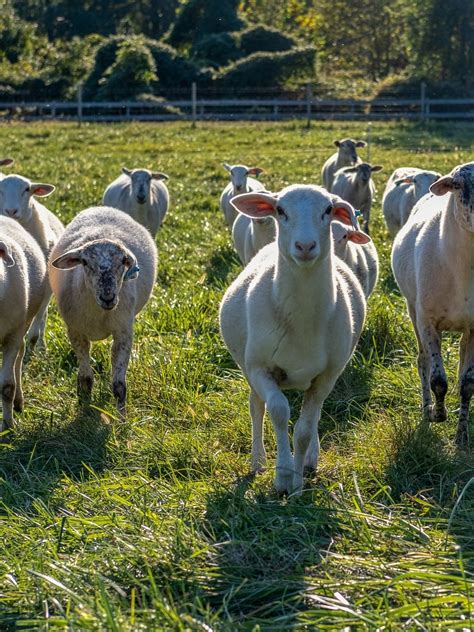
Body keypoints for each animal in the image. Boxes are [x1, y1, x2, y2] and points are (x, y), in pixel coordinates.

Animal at [0, 174, 64, 350]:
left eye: (27, 189)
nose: (11, 211)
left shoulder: (46, 286)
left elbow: (38, 320)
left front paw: (34, 343)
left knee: (43, 317)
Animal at [49, 206, 157, 414]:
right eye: (84, 262)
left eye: (123, 261)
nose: (108, 297)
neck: (99, 313)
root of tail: (104, 208)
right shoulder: (75, 332)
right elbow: (85, 377)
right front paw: (84, 406)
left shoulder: (123, 332)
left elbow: (119, 386)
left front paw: (121, 416)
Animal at [219, 183, 366, 494]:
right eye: (280, 210)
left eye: (328, 210)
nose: (305, 246)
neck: (302, 320)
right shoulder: (260, 368)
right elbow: (278, 411)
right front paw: (282, 476)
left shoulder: (326, 377)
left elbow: (304, 429)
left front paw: (297, 484)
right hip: (248, 368)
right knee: (256, 406)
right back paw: (258, 461)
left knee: (315, 415)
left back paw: (310, 458)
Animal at [394, 163, 474, 446]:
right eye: (457, 184)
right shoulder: (427, 321)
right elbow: (438, 380)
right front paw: (437, 414)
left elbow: (467, 383)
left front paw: (461, 437)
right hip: (412, 309)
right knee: (422, 362)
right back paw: (426, 410)